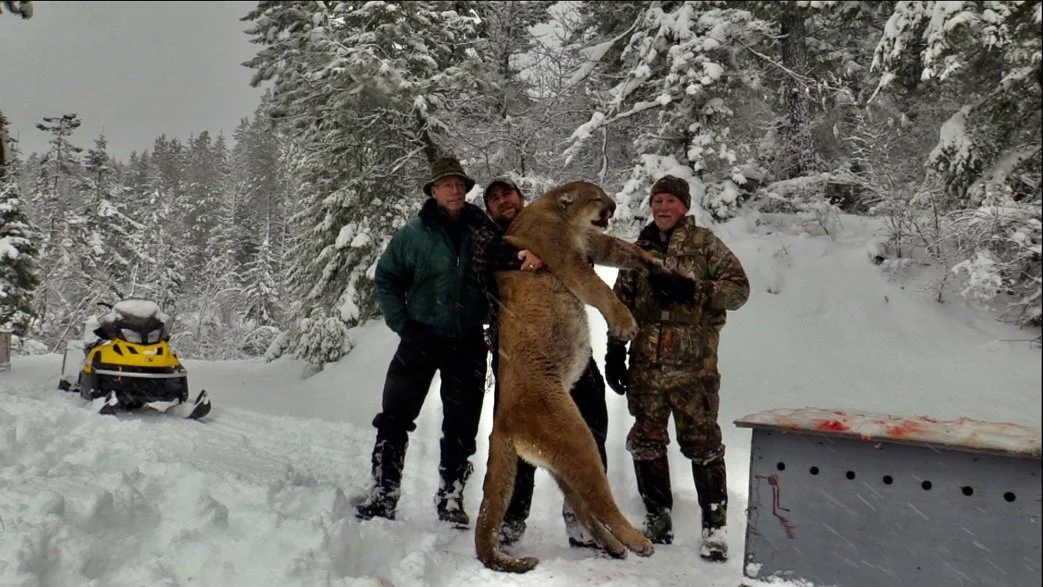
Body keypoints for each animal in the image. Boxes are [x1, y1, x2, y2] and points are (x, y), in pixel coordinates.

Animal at [474, 181, 661, 573]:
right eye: (596, 197)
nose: (613, 205)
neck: (557, 214)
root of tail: (501, 422)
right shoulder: (566, 258)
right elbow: (599, 289)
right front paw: (625, 323)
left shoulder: (591, 242)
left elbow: (622, 249)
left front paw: (654, 261)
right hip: (575, 438)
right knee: (599, 499)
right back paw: (637, 542)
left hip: (561, 464)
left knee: (583, 507)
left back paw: (615, 546)